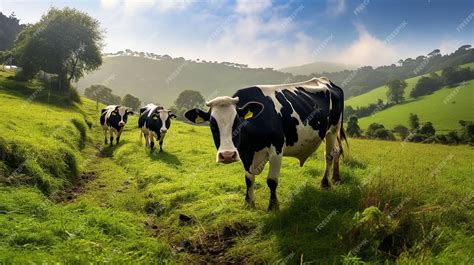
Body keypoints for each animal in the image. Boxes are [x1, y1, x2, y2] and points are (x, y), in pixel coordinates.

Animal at [186, 77, 348, 209]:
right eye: (212, 125)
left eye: (238, 122)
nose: (227, 155)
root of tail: (326, 80)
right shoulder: (245, 153)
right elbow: (248, 179)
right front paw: (249, 203)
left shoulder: (276, 149)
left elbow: (272, 181)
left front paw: (273, 207)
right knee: (337, 151)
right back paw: (336, 178)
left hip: (333, 129)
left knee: (329, 154)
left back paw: (325, 183)